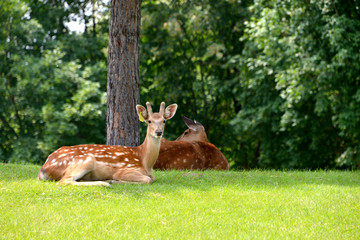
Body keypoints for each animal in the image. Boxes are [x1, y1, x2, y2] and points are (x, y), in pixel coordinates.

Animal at [37, 101, 178, 186]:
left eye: (164, 121)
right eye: (149, 121)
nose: (158, 132)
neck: (145, 161)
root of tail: (43, 169)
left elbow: (152, 177)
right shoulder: (125, 169)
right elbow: (149, 179)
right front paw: (116, 180)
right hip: (86, 160)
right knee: (64, 181)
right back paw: (104, 183)